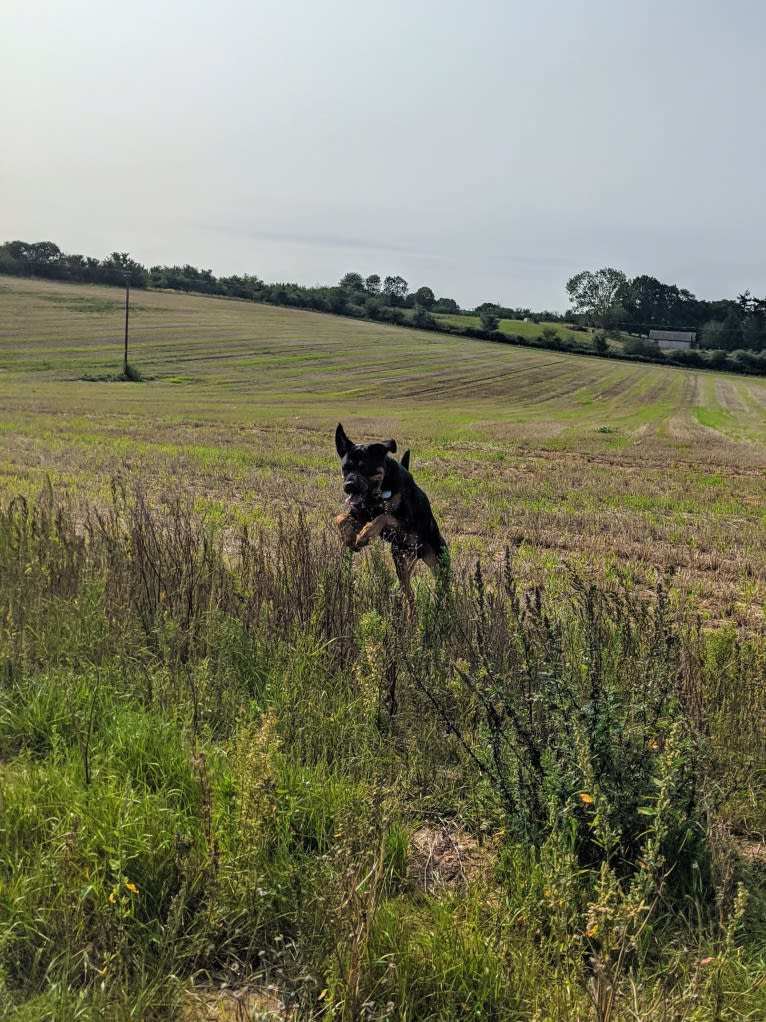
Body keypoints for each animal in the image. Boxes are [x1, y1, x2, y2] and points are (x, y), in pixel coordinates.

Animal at [332, 423, 447, 605]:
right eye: (345, 468)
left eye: (364, 467)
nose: (348, 486)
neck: (381, 490)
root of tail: (418, 553)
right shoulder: (359, 514)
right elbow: (340, 518)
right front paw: (350, 538)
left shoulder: (408, 523)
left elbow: (383, 516)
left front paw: (364, 534)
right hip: (401, 560)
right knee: (409, 593)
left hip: (439, 560)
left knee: (443, 585)